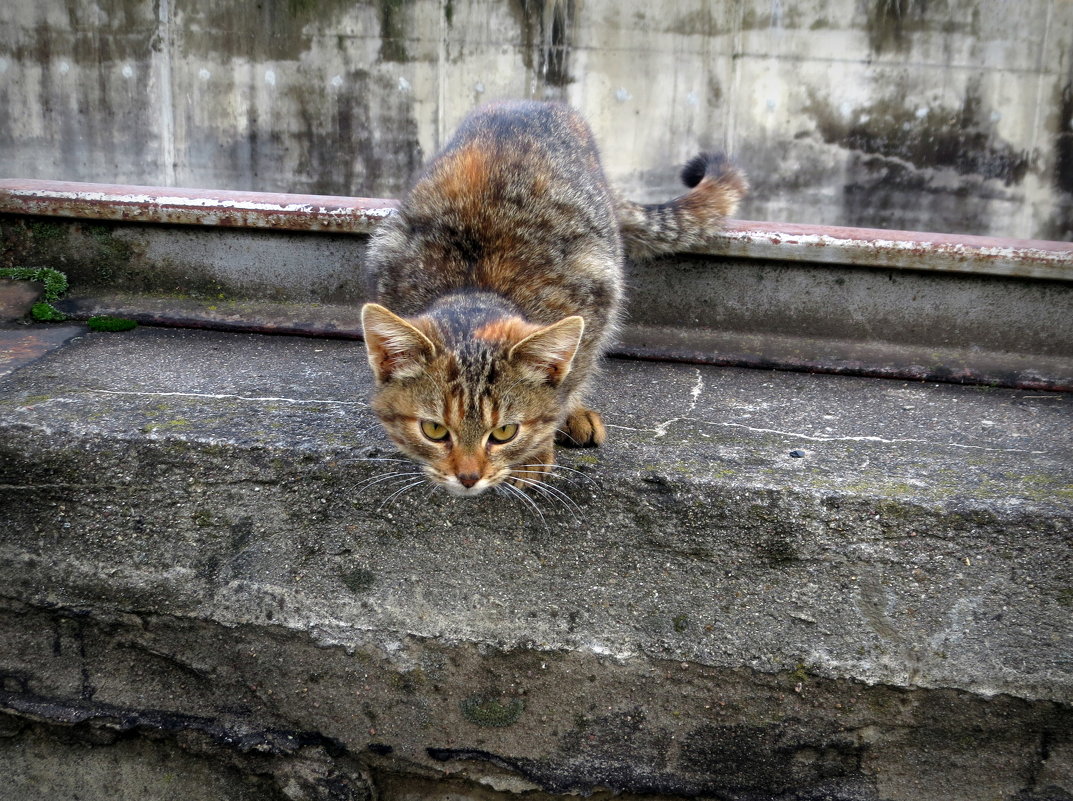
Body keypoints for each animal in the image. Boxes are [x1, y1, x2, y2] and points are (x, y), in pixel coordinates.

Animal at [360, 99, 746, 495]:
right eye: (434, 430)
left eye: (504, 432)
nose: (468, 477)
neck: (474, 284)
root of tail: (529, 102)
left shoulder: (595, 294)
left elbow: (571, 374)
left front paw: (539, 444)